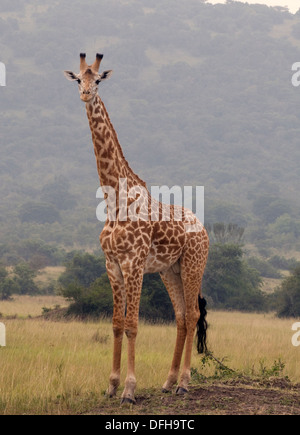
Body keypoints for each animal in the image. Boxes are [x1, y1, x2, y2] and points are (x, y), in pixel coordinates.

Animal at [63, 53, 209, 406]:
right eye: (78, 79)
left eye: (98, 80)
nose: (85, 94)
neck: (114, 199)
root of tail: (203, 228)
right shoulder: (112, 264)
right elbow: (116, 324)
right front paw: (111, 385)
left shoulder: (134, 263)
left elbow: (132, 324)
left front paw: (129, 389)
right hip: (170, 270)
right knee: (181, 317)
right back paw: (168, 382)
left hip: (194, 264)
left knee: (193, 315)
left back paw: (185, 383)